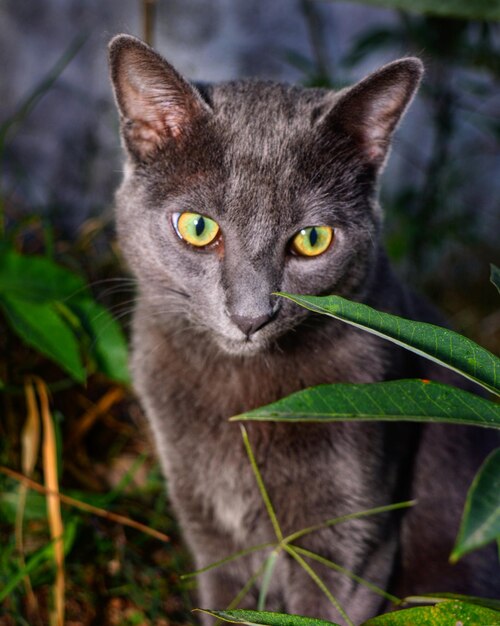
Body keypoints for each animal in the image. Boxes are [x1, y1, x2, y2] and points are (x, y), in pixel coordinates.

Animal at [107, 35, 498, 624]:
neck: (242, 397)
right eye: (197, 227)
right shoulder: (210, 534)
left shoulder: (353, 543)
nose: (250, 315)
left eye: (313, 239)